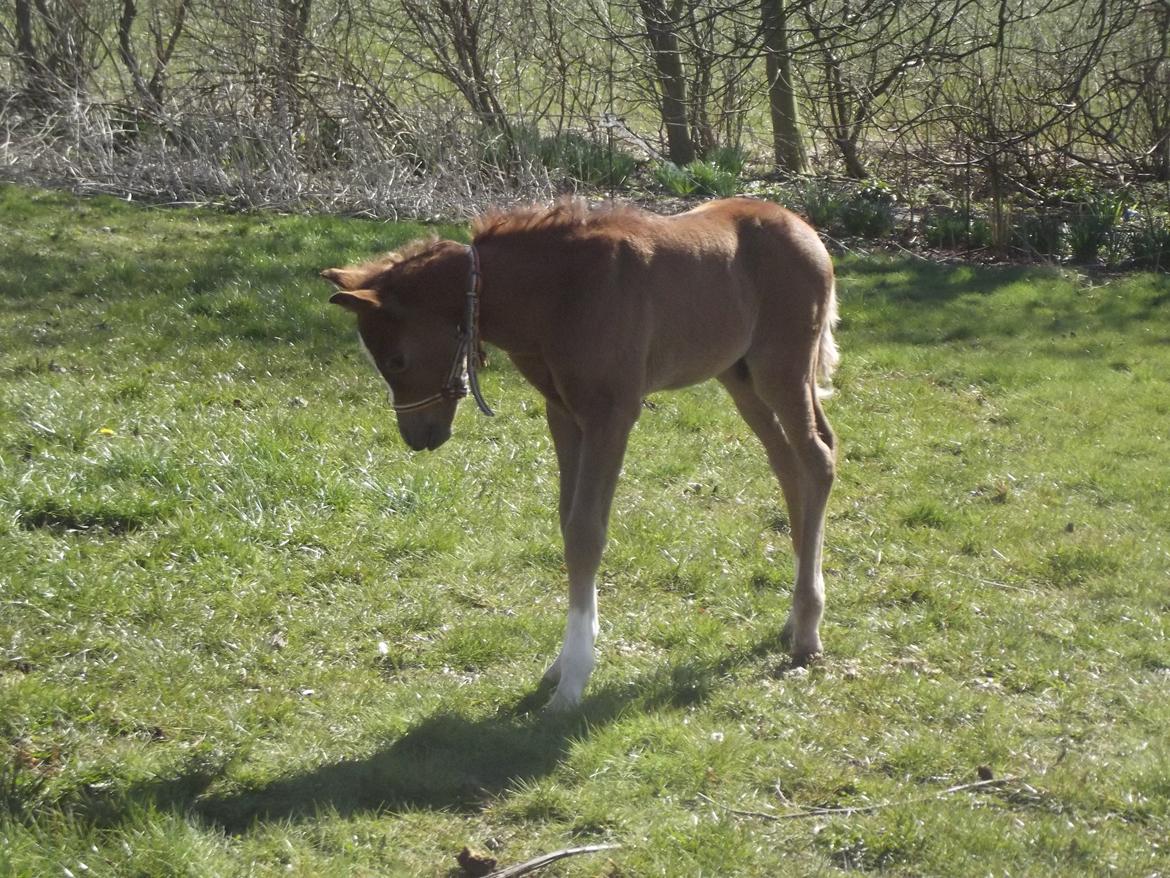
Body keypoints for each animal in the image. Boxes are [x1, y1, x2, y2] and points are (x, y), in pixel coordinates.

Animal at [323, 197, 839, 710]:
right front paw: (563, 661)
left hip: (781, 368)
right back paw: (794, 615)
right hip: (740, 376)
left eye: (396, 360)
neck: (556, 294)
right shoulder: (564, 414)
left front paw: (572, 679)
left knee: (816, 460)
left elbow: (586, 532)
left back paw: (808, 629)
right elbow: (567, 518)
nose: (417, 436)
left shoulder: (611, 414)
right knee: (787, 463)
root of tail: (805, 230)